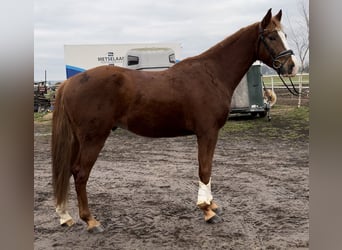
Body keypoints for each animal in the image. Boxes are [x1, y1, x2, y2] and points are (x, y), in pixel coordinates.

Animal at [52, 9, 298, 232]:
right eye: (271, 36)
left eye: (284, 34)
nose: (292, 66)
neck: (212, 74)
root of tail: (69, 83)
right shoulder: (207, 132)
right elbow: (204, 169)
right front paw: (207, 210)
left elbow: (208, 169)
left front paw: (212, 204)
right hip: (94, 138)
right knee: (80, 173)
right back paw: (91, 221)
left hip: (78, 140)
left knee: (67, 170)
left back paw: (65, 216)